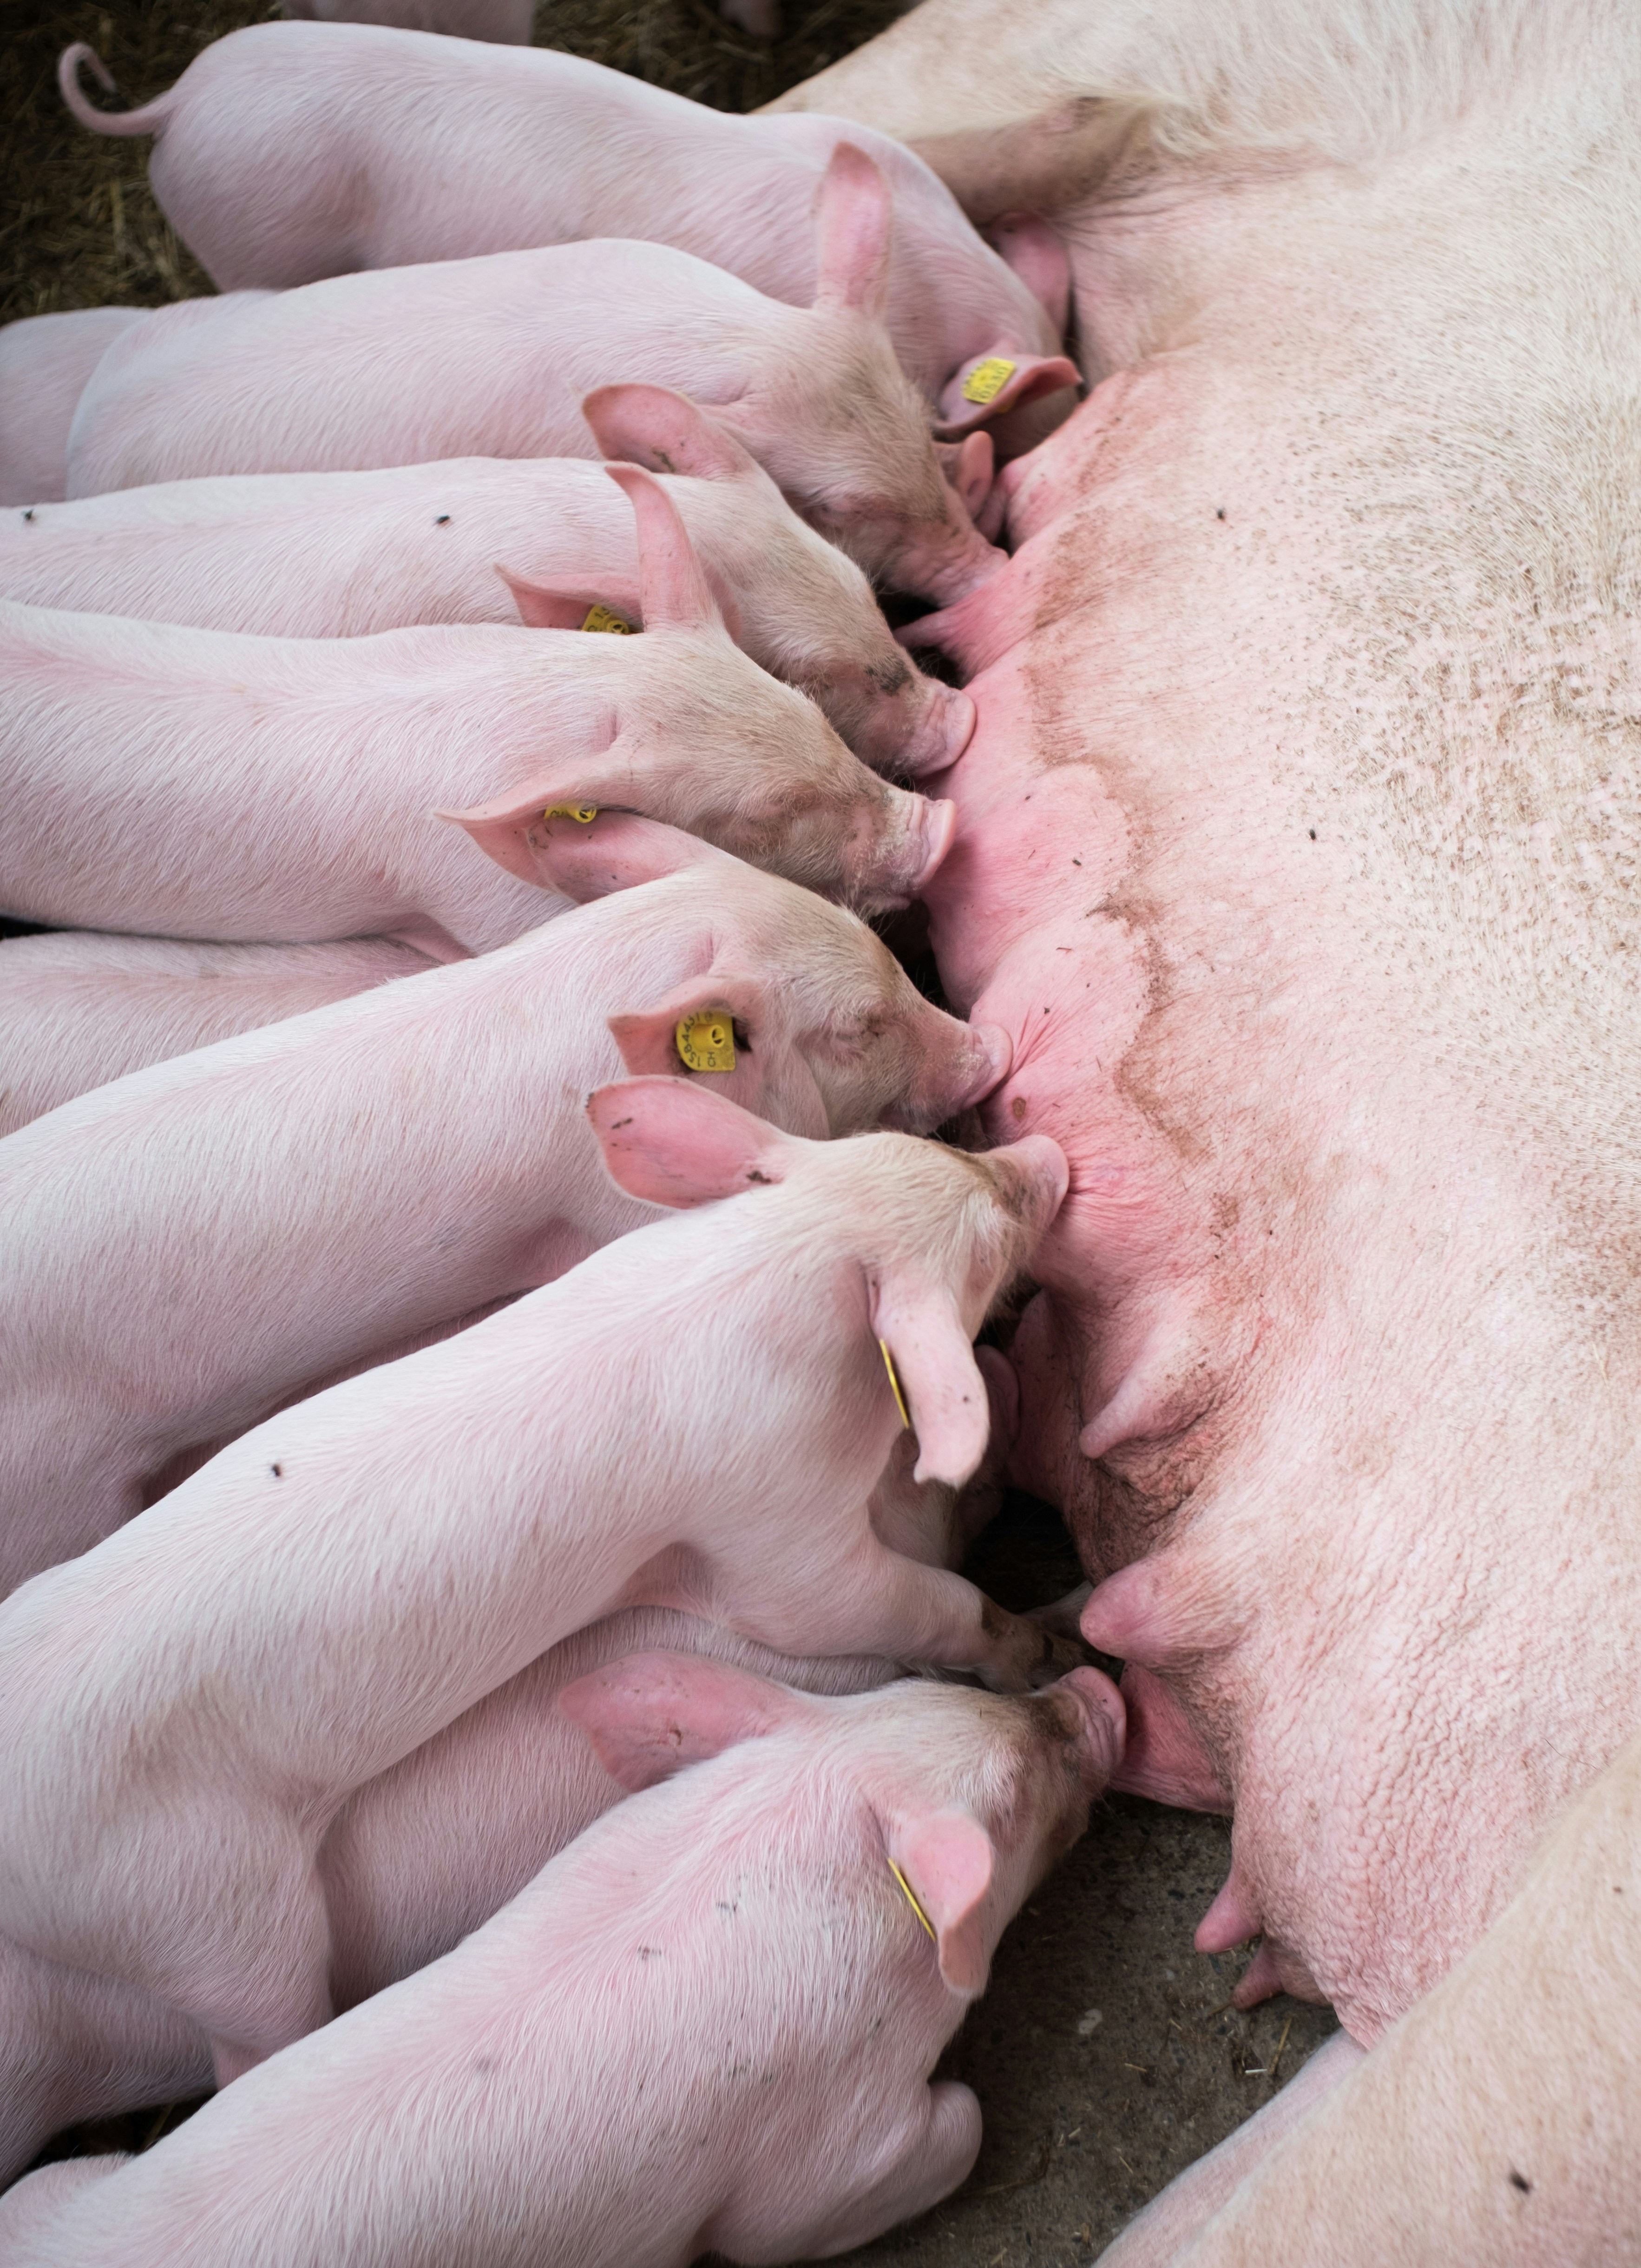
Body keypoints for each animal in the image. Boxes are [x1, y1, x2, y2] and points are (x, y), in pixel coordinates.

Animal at [0, 1081, 1074, 2077]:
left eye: (905, 1144)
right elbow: (873, 1604)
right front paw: (1043, 1648)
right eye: (983, 1252)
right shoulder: (770, 1517)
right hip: (196, 1906)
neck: (773, 1258)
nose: (1044, 1155)